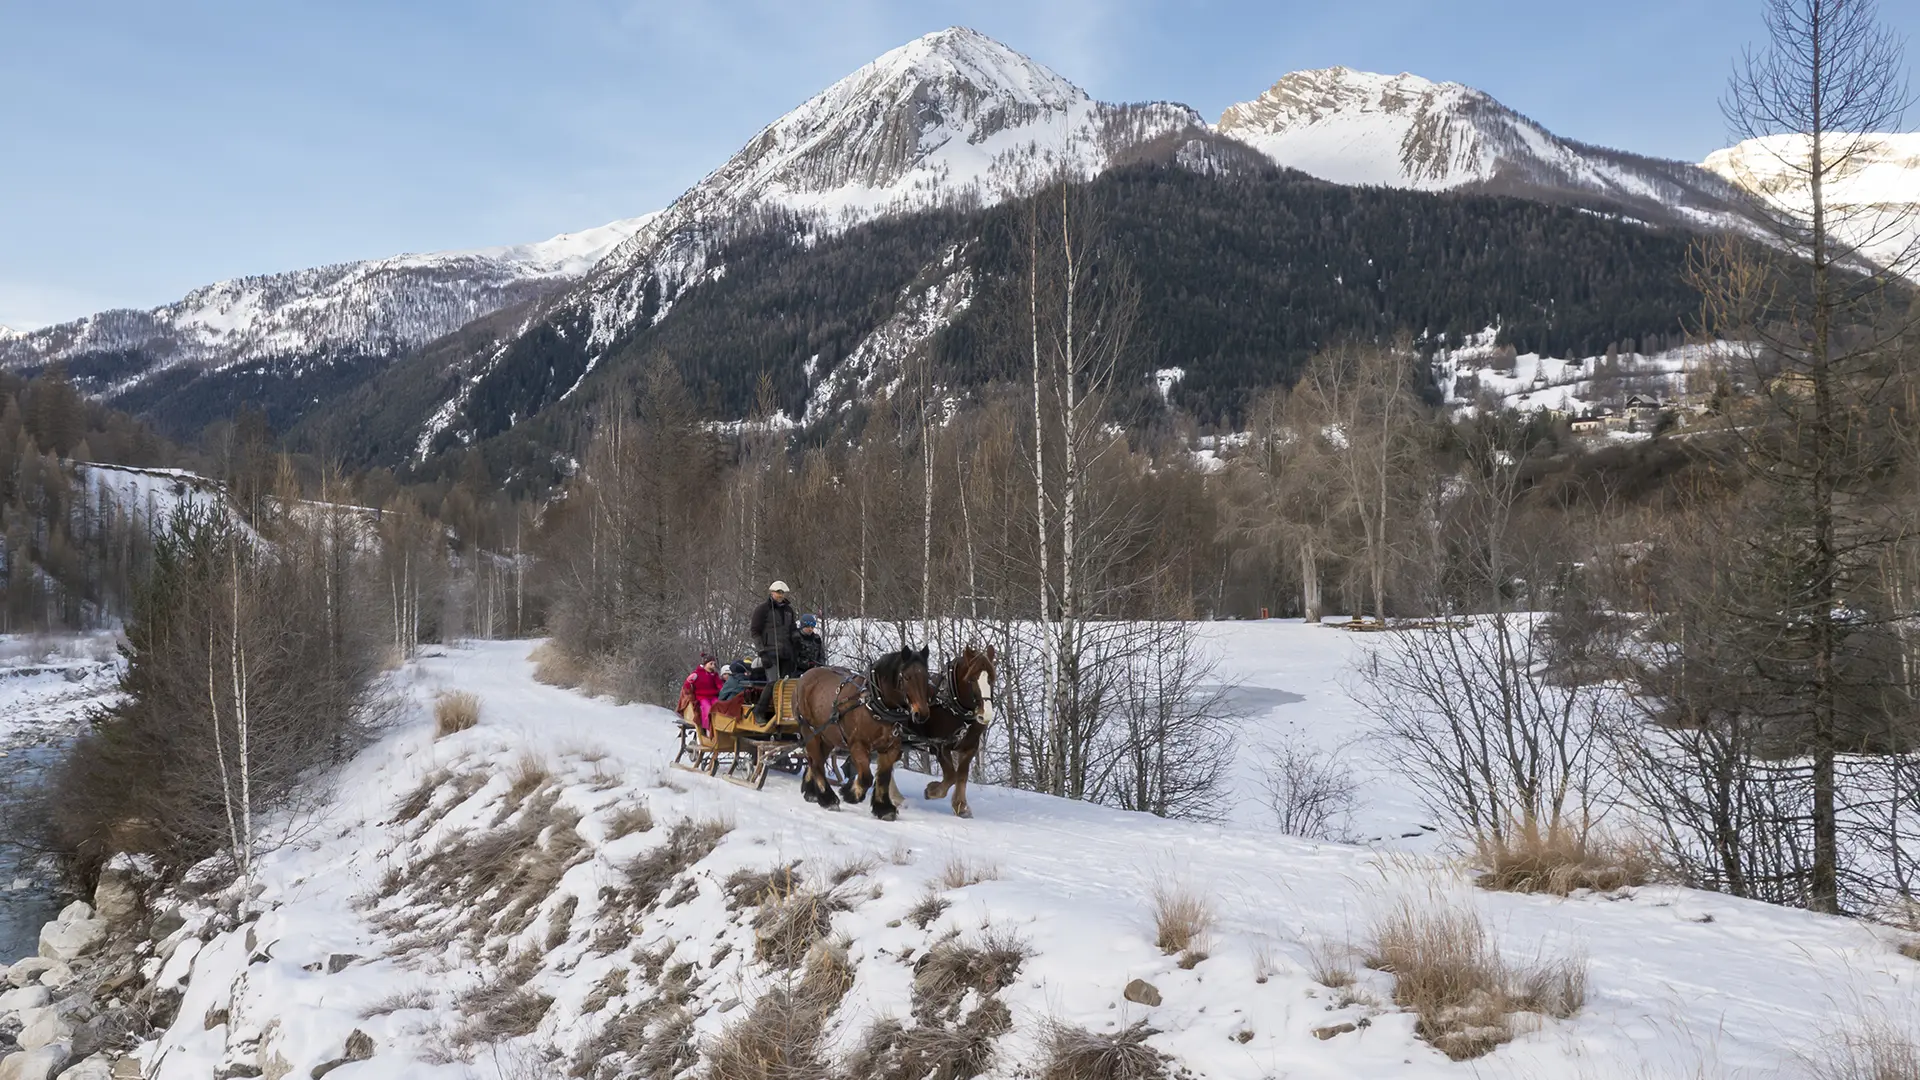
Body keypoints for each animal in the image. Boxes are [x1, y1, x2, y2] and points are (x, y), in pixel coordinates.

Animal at [791, 645, 933, 814]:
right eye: (906, 677)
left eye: (926, 677)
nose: (922, 714)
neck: (874, 703)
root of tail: (804, 676)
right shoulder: (858, 745)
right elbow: (866, 777)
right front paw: (851, 793)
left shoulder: (890, 748)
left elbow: (883, 777)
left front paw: (884, 808)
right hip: (810, 731)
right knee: (817, 762)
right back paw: (828, 799)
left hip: (827, 736)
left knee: (815, 760)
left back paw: (811, 792)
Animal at [910, 641, 1006, 810]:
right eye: (971, 680)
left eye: (991, 679)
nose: (986, 714)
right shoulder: (939, 745)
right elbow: (951, 776)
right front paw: (932, 790)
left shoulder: (970, 746)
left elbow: (961, 775)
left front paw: (961, 806)